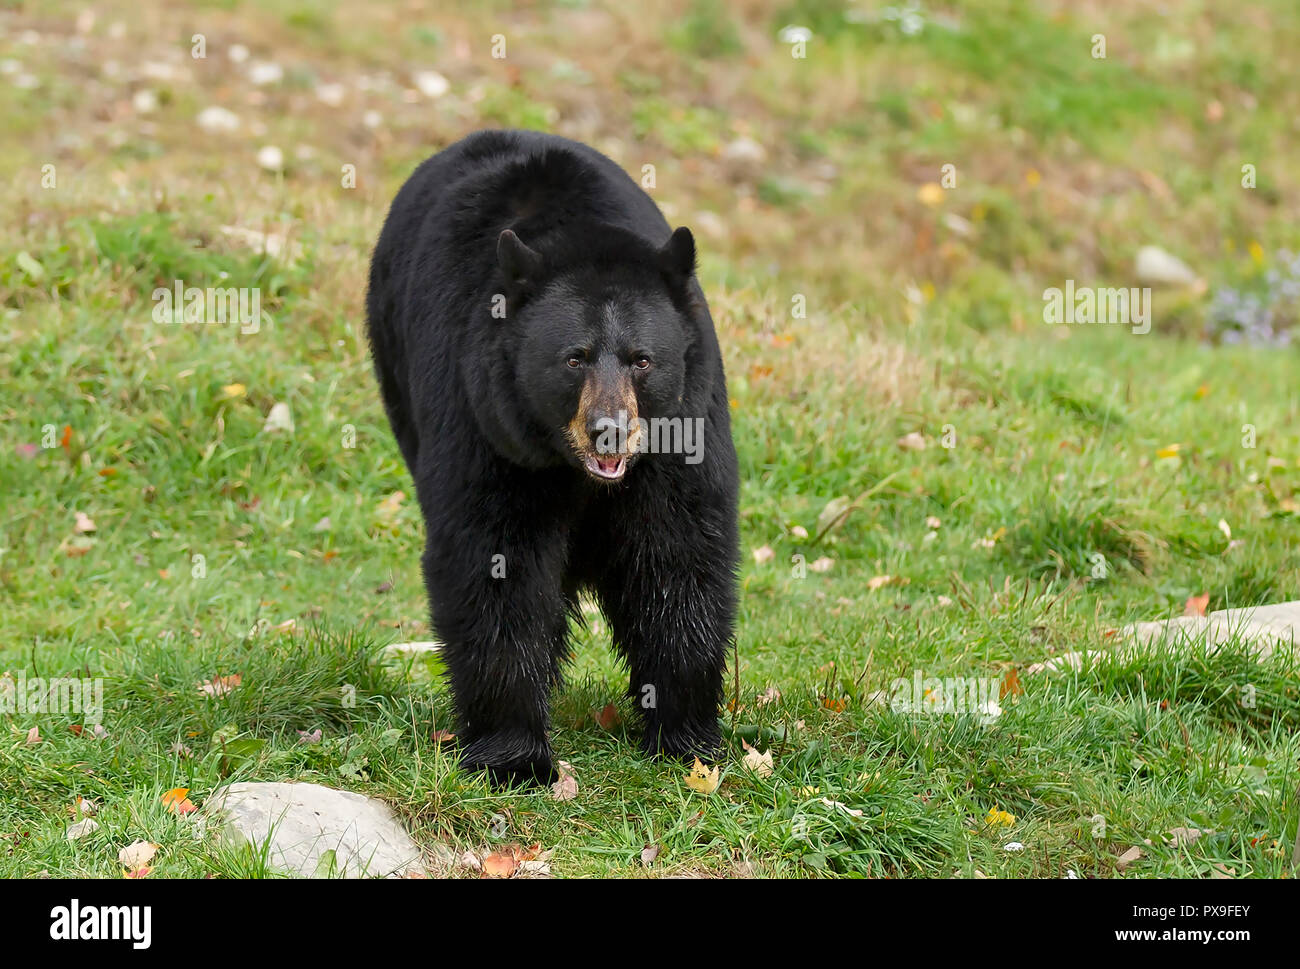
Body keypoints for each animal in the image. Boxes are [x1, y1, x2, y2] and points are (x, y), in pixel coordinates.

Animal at [365, 130, 740, 786]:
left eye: (642, 359)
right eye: (574, 358)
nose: (609, 432)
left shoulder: (680, 431)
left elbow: (679, 550)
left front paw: (687, 737)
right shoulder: (482, 419)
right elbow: (493, 554)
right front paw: (514, 755)